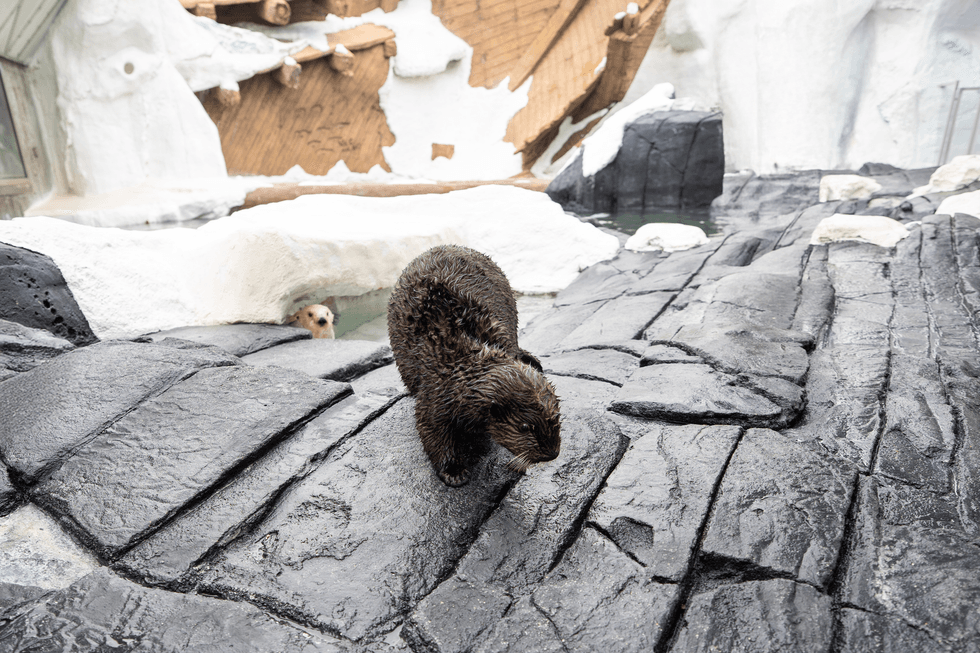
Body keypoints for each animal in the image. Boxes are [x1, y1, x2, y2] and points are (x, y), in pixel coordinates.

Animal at [388, 245, 561, 486]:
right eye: (525, 427)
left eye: (557, 417)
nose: (551, 453)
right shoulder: (436, 392)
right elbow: (432, 429)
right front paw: (454, 472)